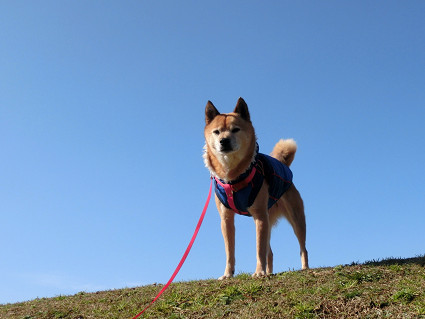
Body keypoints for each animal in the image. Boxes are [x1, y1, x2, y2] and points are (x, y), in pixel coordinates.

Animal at [203, 97, 308, 280]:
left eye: (235, 129)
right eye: (216, 132)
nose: (224, 141)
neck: (233, 177)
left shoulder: (259, 215)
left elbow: (259, 249)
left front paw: (259, 272)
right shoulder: (226, 219)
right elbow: (230, 251)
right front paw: (228, 274)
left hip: (295, 219)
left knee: (302, 248)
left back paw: (305, 268)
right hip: (268, 219)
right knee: (270, 252)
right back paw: (270, 272)